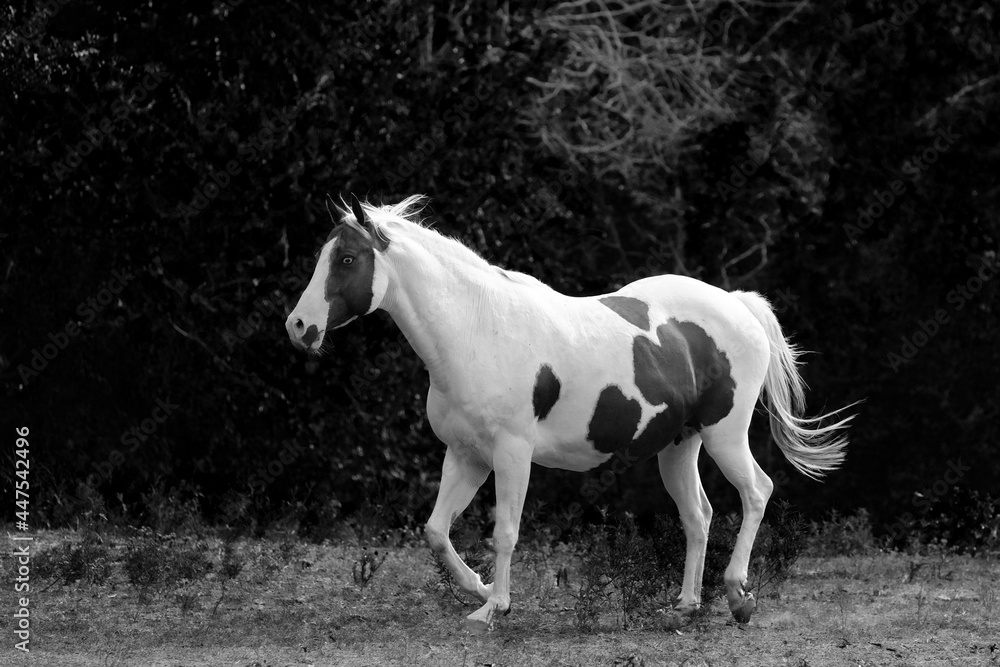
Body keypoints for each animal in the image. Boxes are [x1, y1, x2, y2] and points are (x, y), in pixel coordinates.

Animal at [285, 194, 855, 632]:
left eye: (348, 260)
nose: (298, 326)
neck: (476, 330)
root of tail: (738, 304)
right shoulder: (466, 455)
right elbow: (436, 532)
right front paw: (480, 591)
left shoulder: (512, 454)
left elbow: (504, 531)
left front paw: (494, 609)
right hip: (679, 445)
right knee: (699, 515)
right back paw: (684, 607)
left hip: (725, 436)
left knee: (757, 492)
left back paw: (738, 596)